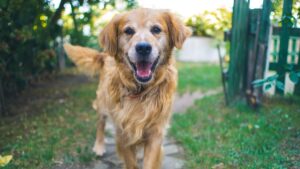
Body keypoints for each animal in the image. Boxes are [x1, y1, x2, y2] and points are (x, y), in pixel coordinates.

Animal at [63, 8, 190, 169]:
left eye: (156, 29)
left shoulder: (156, 133)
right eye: (129, 31)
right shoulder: (123, 132)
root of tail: (105, 53)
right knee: (100, 124)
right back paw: (99, 146)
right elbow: (131, 162)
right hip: (103, 102)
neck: (141, 90)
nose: (143, 48)